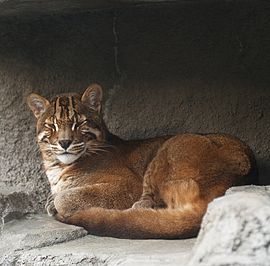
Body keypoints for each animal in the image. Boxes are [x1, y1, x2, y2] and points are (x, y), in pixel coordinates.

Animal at [26, 84, 258, 238]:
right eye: (51, 126)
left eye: (79, 123)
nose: (64, 142)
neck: (57, 166)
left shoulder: (127, 185)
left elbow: (64, 198)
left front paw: (56, 204)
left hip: (170, 146)